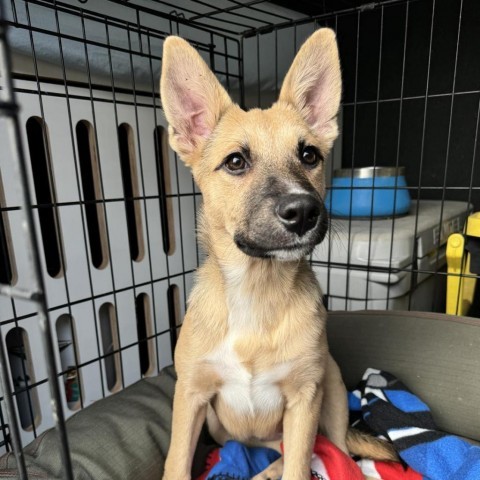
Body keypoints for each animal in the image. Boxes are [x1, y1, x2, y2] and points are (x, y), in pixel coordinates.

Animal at [160, 28, 394, 478]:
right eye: (235, 162)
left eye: (309, 155)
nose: (303, 211)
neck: (257, 289)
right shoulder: (191, 394)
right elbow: (176, 462)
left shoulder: (304, 398)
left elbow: (301, 463)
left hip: (331, 385)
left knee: (330, 449)